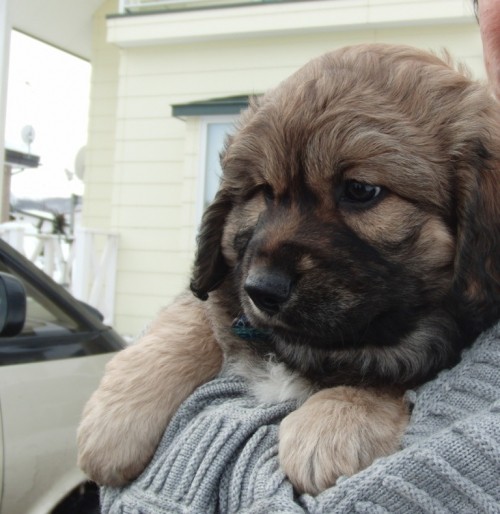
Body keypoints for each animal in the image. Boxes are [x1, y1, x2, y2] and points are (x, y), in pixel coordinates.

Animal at [77, 44, 500, 492]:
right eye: (263, 191)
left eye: (361, 190)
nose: (262, 290)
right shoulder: (223, 286)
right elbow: (192, 318)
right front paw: (117, 417)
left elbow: (389, 372)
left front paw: (338, 421)